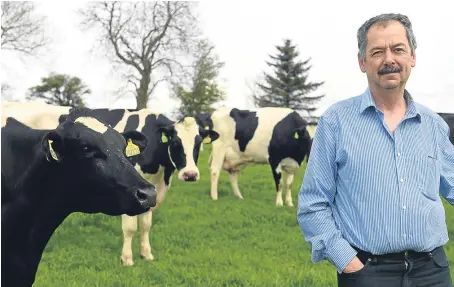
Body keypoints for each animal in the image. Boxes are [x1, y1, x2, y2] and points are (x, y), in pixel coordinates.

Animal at [0, 102, 219, 268]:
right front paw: (127, 259)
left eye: (199, 143)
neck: (160, 172)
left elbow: (146, 224)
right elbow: (130, 227)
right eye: (175, 143)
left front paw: (146, 254)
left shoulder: (150, 190)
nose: (190, 174)